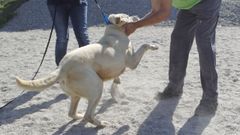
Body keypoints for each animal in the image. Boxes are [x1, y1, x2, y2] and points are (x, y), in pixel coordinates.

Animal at [15, 13, 158, 127]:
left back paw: (79, 115)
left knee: (72, 113)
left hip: (76, 95)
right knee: (88, 116)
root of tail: (62, 68)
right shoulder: (132, 62)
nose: (137, 16)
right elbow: (144, 45)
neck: (114, 31)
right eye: (127, 16)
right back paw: (101, 124)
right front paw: (154, 46)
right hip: (97, 88)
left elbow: (116, 77)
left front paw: (117, 82)